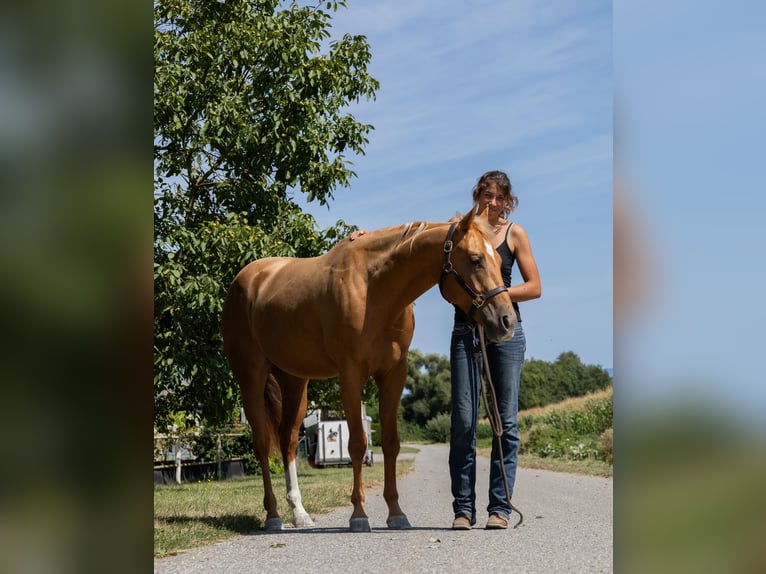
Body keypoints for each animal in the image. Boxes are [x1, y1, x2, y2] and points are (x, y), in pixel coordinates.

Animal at [222, 209, 516, 532]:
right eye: (476, 259)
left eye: (498, 259)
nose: (506, 321)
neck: (373, 289)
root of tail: (245, 279)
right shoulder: (351, 375)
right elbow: (357, 445)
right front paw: (359, 515)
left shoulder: (393, 375)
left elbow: (390, 443)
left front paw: (396, 513)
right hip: (251, 375)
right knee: (262, 443)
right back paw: (273, 516)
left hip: (295, 380)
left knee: (287, 441)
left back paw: (300, 514)